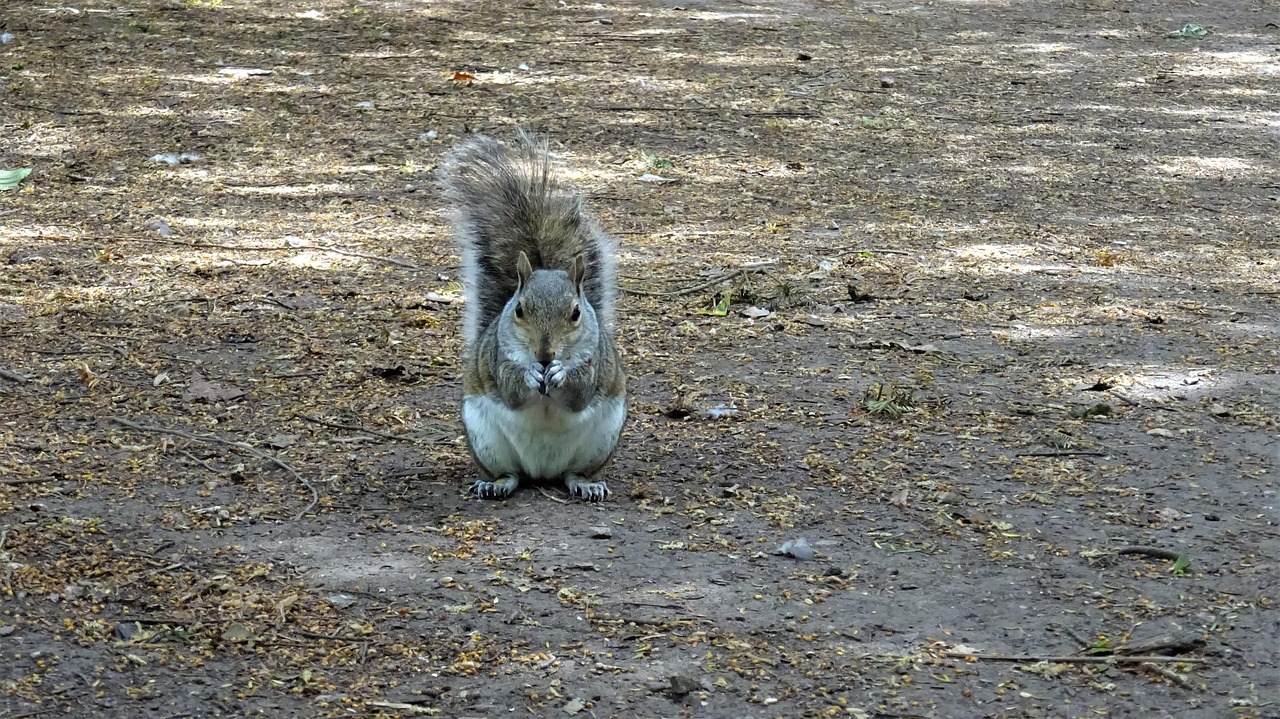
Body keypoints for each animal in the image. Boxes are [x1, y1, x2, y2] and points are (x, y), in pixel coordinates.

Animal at [437, 128, 627, 498]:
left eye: (576, 313)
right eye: (520, 310)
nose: (544, 354)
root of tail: (542, 471)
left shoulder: (594, 360)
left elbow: (580, 394)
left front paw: (561, 374)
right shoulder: (499, 356)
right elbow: (511, 390)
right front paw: (528, 375)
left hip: (601, 441)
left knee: (572, 474)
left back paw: (585, 484)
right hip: (485, 439)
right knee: (511, 474)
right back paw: (495, 484)